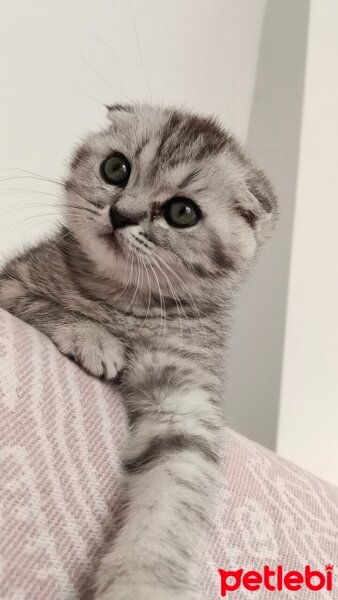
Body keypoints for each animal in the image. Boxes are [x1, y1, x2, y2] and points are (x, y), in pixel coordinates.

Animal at [0, 104, 278, 600]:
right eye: (116, 168)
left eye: (182, 212)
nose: (120, 213)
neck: (125, 300)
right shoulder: (12, 282)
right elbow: (48, 306)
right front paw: (94, 338)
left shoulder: (185, 403)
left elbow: (171, 499)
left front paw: (142, 580)